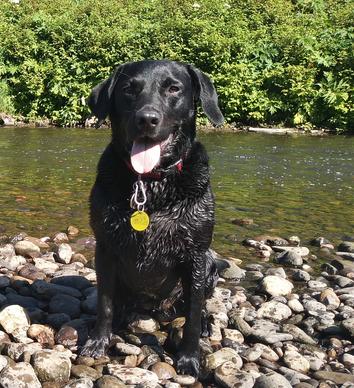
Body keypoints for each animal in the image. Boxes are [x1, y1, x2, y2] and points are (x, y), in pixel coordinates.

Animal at [80, 59, 224, 374]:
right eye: (128, 89)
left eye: (174, 88)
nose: (147, 119)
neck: (151, 183)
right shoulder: (105, 249)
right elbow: (104, 303)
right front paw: (97, 341)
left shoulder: (196, 255)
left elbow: (192, 315)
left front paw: (189, 358)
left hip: (209, 265)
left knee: (198, 307)